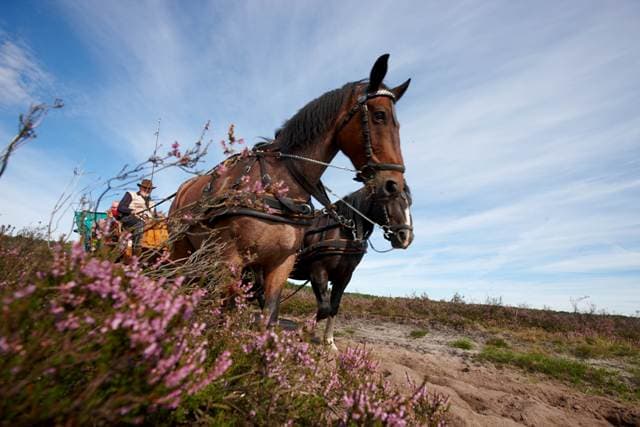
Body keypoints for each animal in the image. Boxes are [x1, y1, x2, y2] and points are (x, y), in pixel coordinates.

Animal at [169, 55, 410, 326]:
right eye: (379, 115)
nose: (393, 183)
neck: (278, 184)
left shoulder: (281, 263)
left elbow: (270, 315)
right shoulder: (233, 259)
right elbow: (224, 314)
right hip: (180, 250)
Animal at [292, 185, 412, 352]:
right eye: (389, 198)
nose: (406, 237)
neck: (343, 231)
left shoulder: (344, 277)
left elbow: (334, 307)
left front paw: (329, 342)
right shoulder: (318, 271)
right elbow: (324, 308)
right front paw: (302, 331)